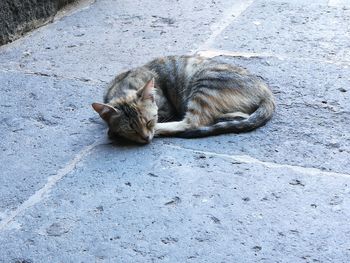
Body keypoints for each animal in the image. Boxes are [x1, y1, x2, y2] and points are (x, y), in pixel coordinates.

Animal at [92, 54, 276, 143]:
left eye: (149, 122)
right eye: (131, 129)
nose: (146, 138)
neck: (122, 85)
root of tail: (266, 91)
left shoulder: (166, 110)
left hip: (205, 84)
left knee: (192, 123)